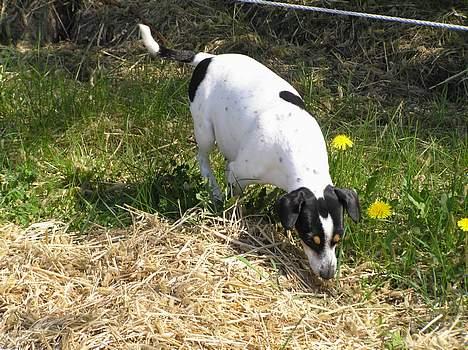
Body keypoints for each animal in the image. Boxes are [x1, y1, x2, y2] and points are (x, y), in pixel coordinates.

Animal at [137, 23, 360, 278]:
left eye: (338, 239)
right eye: (309, 238)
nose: (328, 274)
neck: (298, 151)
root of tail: (207, 58)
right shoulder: (238, 174)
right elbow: (234, 201)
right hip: (204, 130)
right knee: (202, 158)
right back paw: (213, 188)